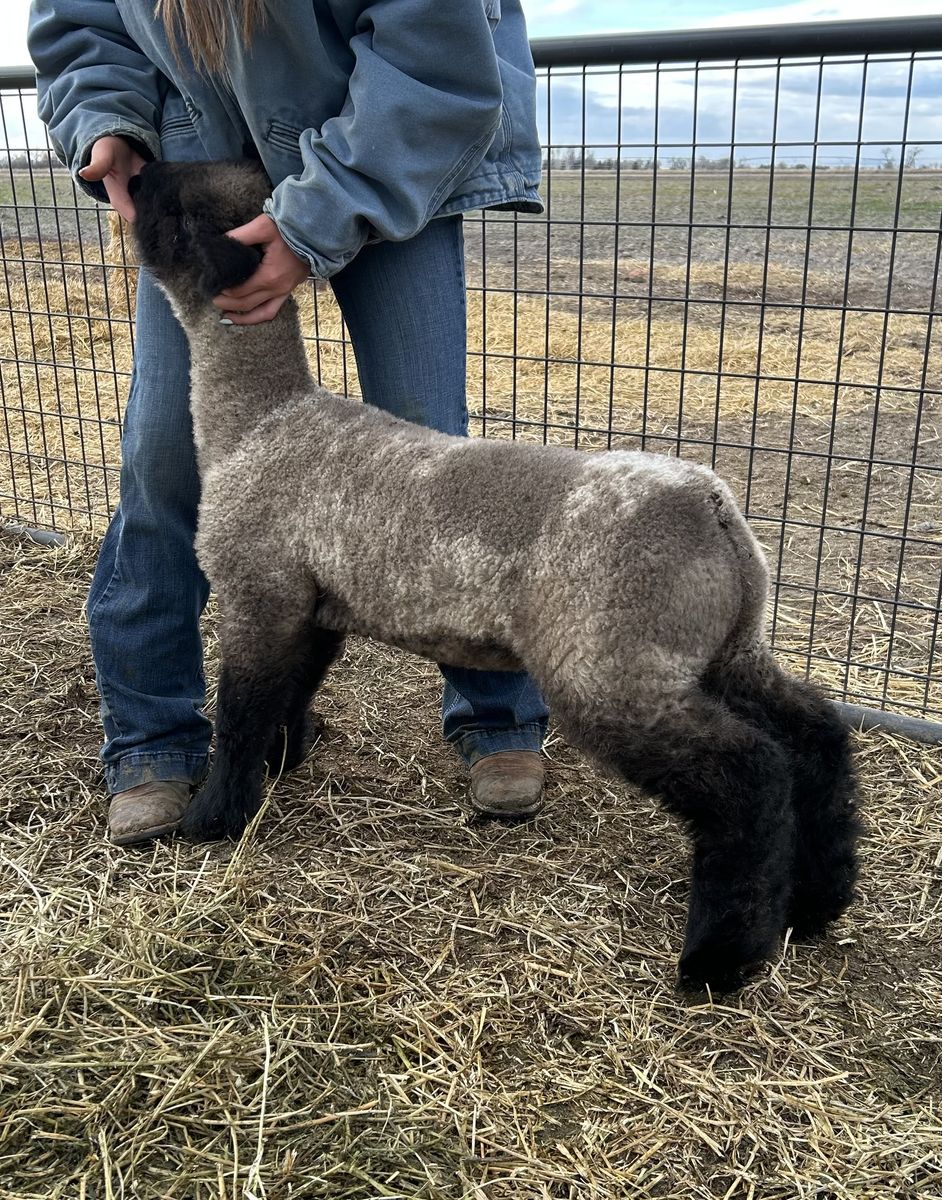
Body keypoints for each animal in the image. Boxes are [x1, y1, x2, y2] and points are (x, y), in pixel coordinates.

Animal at [128, 160, 860, 992]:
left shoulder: (259, 590)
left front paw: (215, 818)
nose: (126, 170)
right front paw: (281, 765)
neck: (258, 419)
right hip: (724, 648)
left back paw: (719, 961)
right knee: (815, 734)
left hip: (610, 668)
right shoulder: (313, 605)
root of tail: (713, 509)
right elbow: (290, 691)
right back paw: (817, 904)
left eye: (174, 203)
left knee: (750, 775)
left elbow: (243, 708)